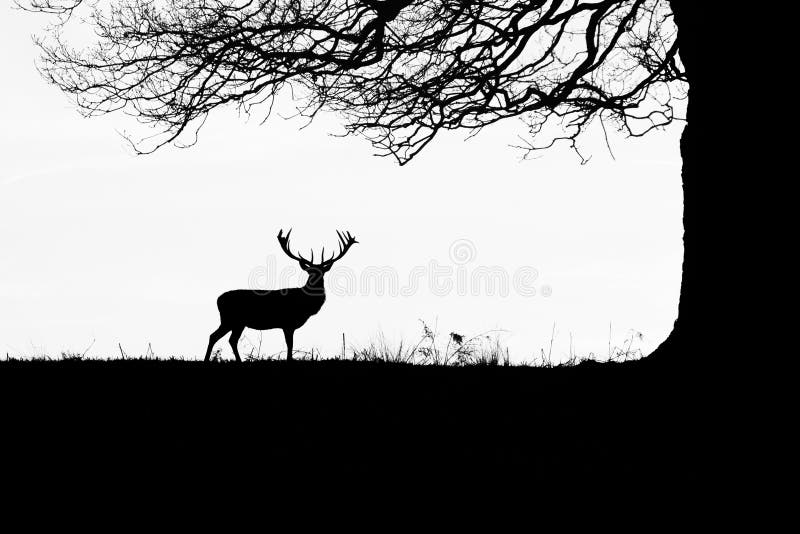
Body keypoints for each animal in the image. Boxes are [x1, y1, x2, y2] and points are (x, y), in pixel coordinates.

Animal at [204, 229, 358, 362]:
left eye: (322, 272)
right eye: (309, 272)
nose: (315, 282)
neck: (305, 303)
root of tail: (218, 299)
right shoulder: (288, 323)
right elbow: (290, 344)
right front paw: (289, 360)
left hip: (237, 322)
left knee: (229, 339)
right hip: (230, 319)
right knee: (216, 336)